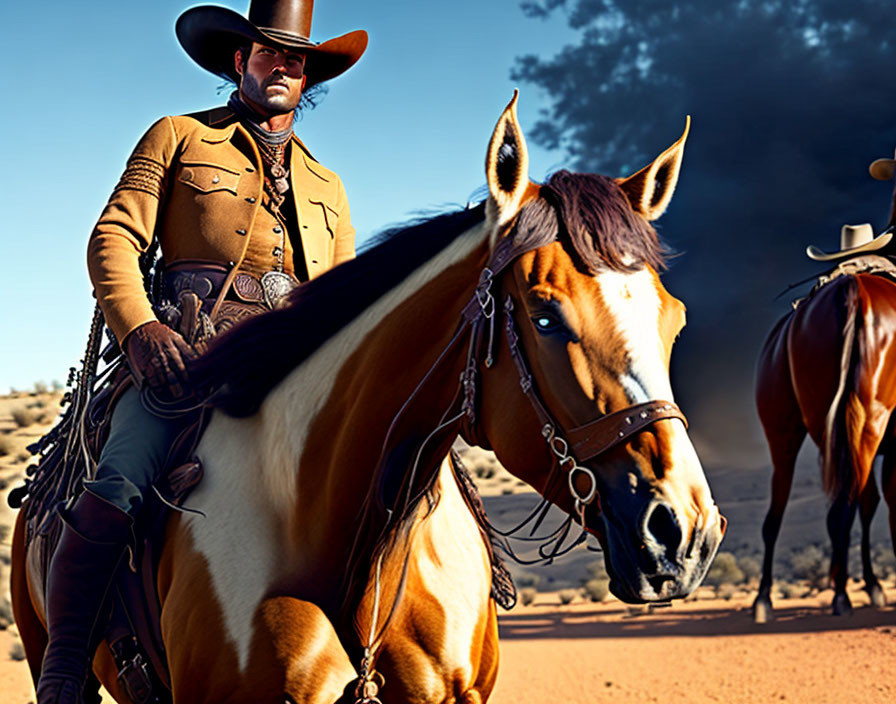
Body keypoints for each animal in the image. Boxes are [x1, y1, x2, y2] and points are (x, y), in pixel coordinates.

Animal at [752, 270, 896, 620]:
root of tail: (853, 288)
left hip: (809, 427)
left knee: (781, 512)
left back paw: (766, 599)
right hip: (864, 420)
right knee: (844, 506)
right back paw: (839, 595)